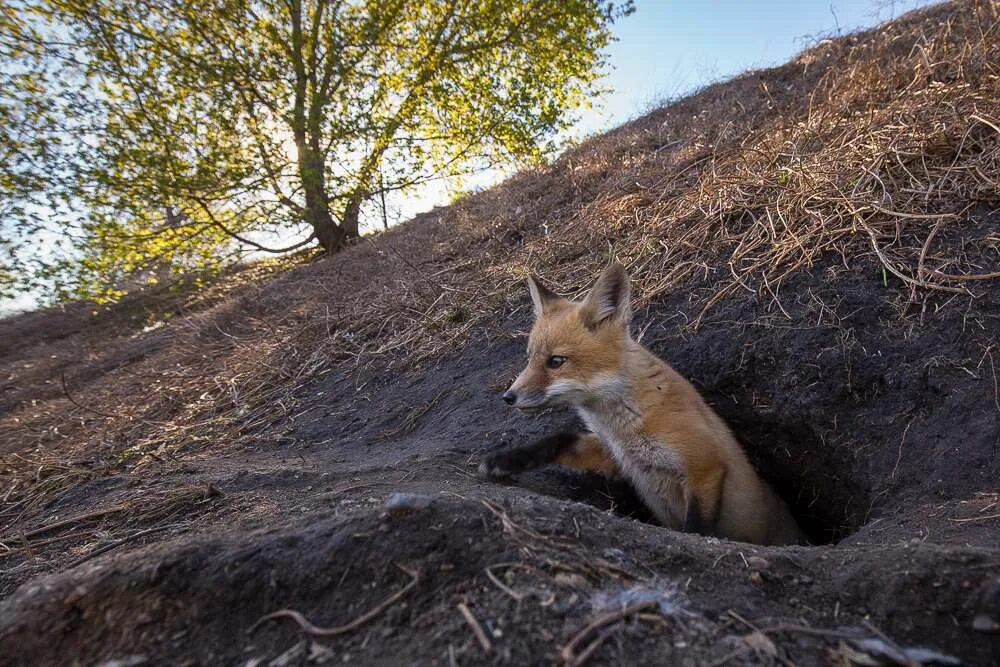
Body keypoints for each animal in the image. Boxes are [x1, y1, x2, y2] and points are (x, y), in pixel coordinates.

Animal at [480, 262, 808, 548]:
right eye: (529, 358)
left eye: (556, 361)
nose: (508, 397)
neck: (627, 426)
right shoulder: (618, 457)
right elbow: (561, 439)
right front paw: (508, 460)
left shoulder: (706, 467)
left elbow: (696, 526)